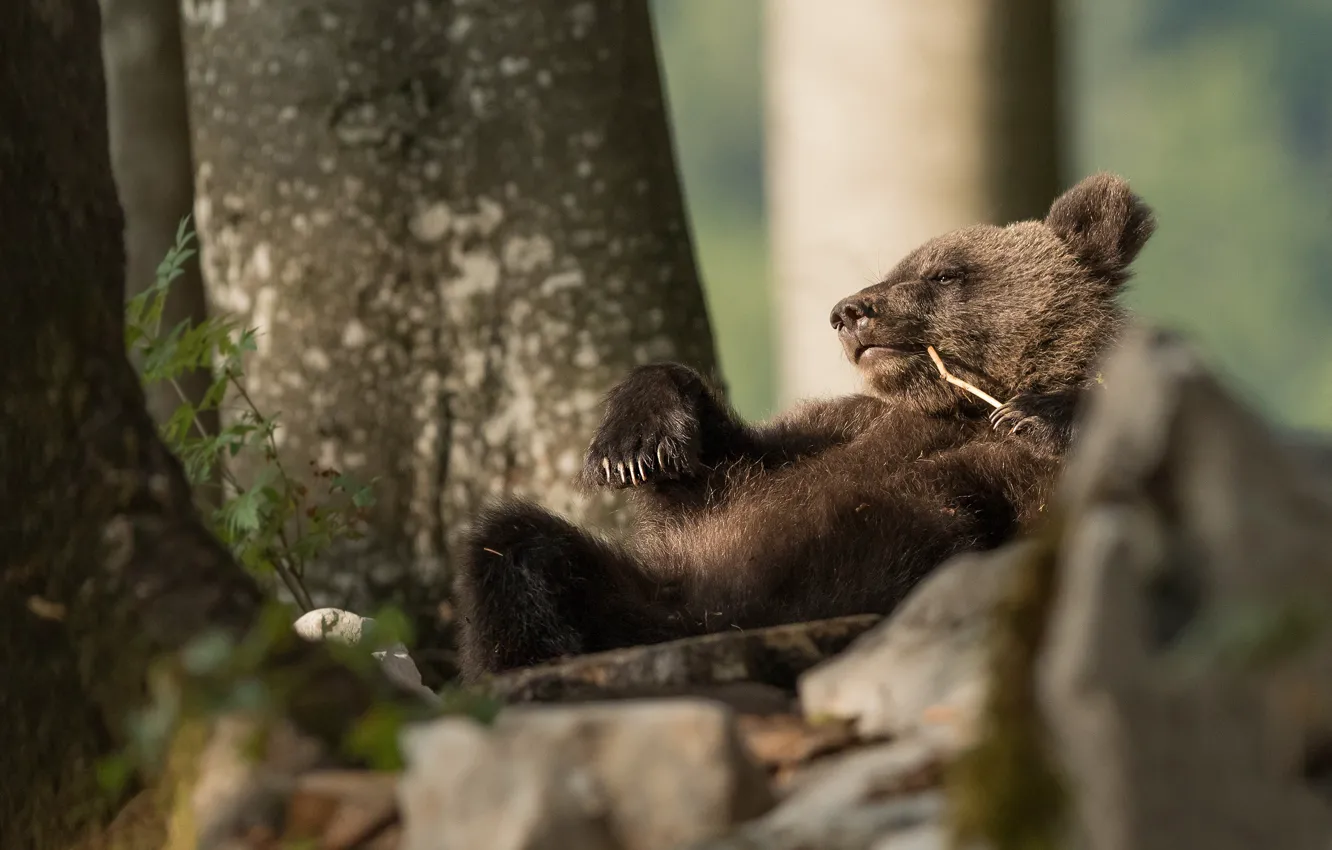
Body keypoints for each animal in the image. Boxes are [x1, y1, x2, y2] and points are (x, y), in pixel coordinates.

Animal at [454, 172, 1157, 681]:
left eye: (945, 272)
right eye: (895, 267)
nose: (850, 311)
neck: (954, 408)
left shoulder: (1016, 487)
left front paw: (1035, 415)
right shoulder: (830, 435)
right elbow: (721, 457)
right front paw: (634, 446)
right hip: (649, 591)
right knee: (515, 546)